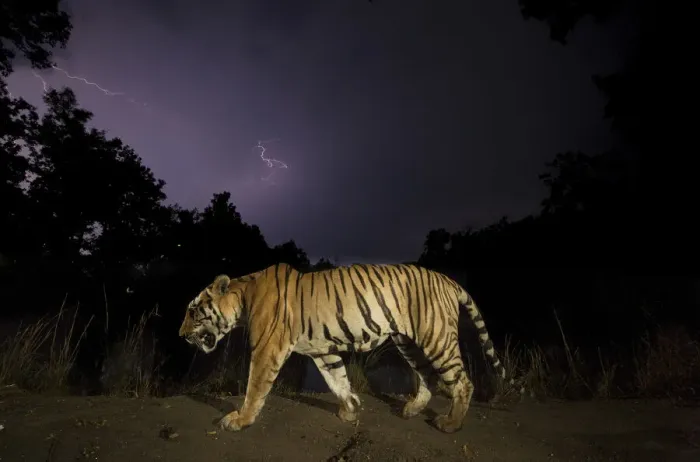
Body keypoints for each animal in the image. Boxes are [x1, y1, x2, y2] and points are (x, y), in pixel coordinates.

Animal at [178, 262, 517, 434]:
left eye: (193, 311)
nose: (180, 335)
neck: (243, 297)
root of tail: (448, 279)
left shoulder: (266, 349)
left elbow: (254, 388)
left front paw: (239, 420)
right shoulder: (322, 350)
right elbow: (337, 379)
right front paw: (351, 408)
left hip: (436, 338)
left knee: (462, 382)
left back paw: (451, 423)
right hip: (408, 342)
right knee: (427, 377)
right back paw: (412, 409)